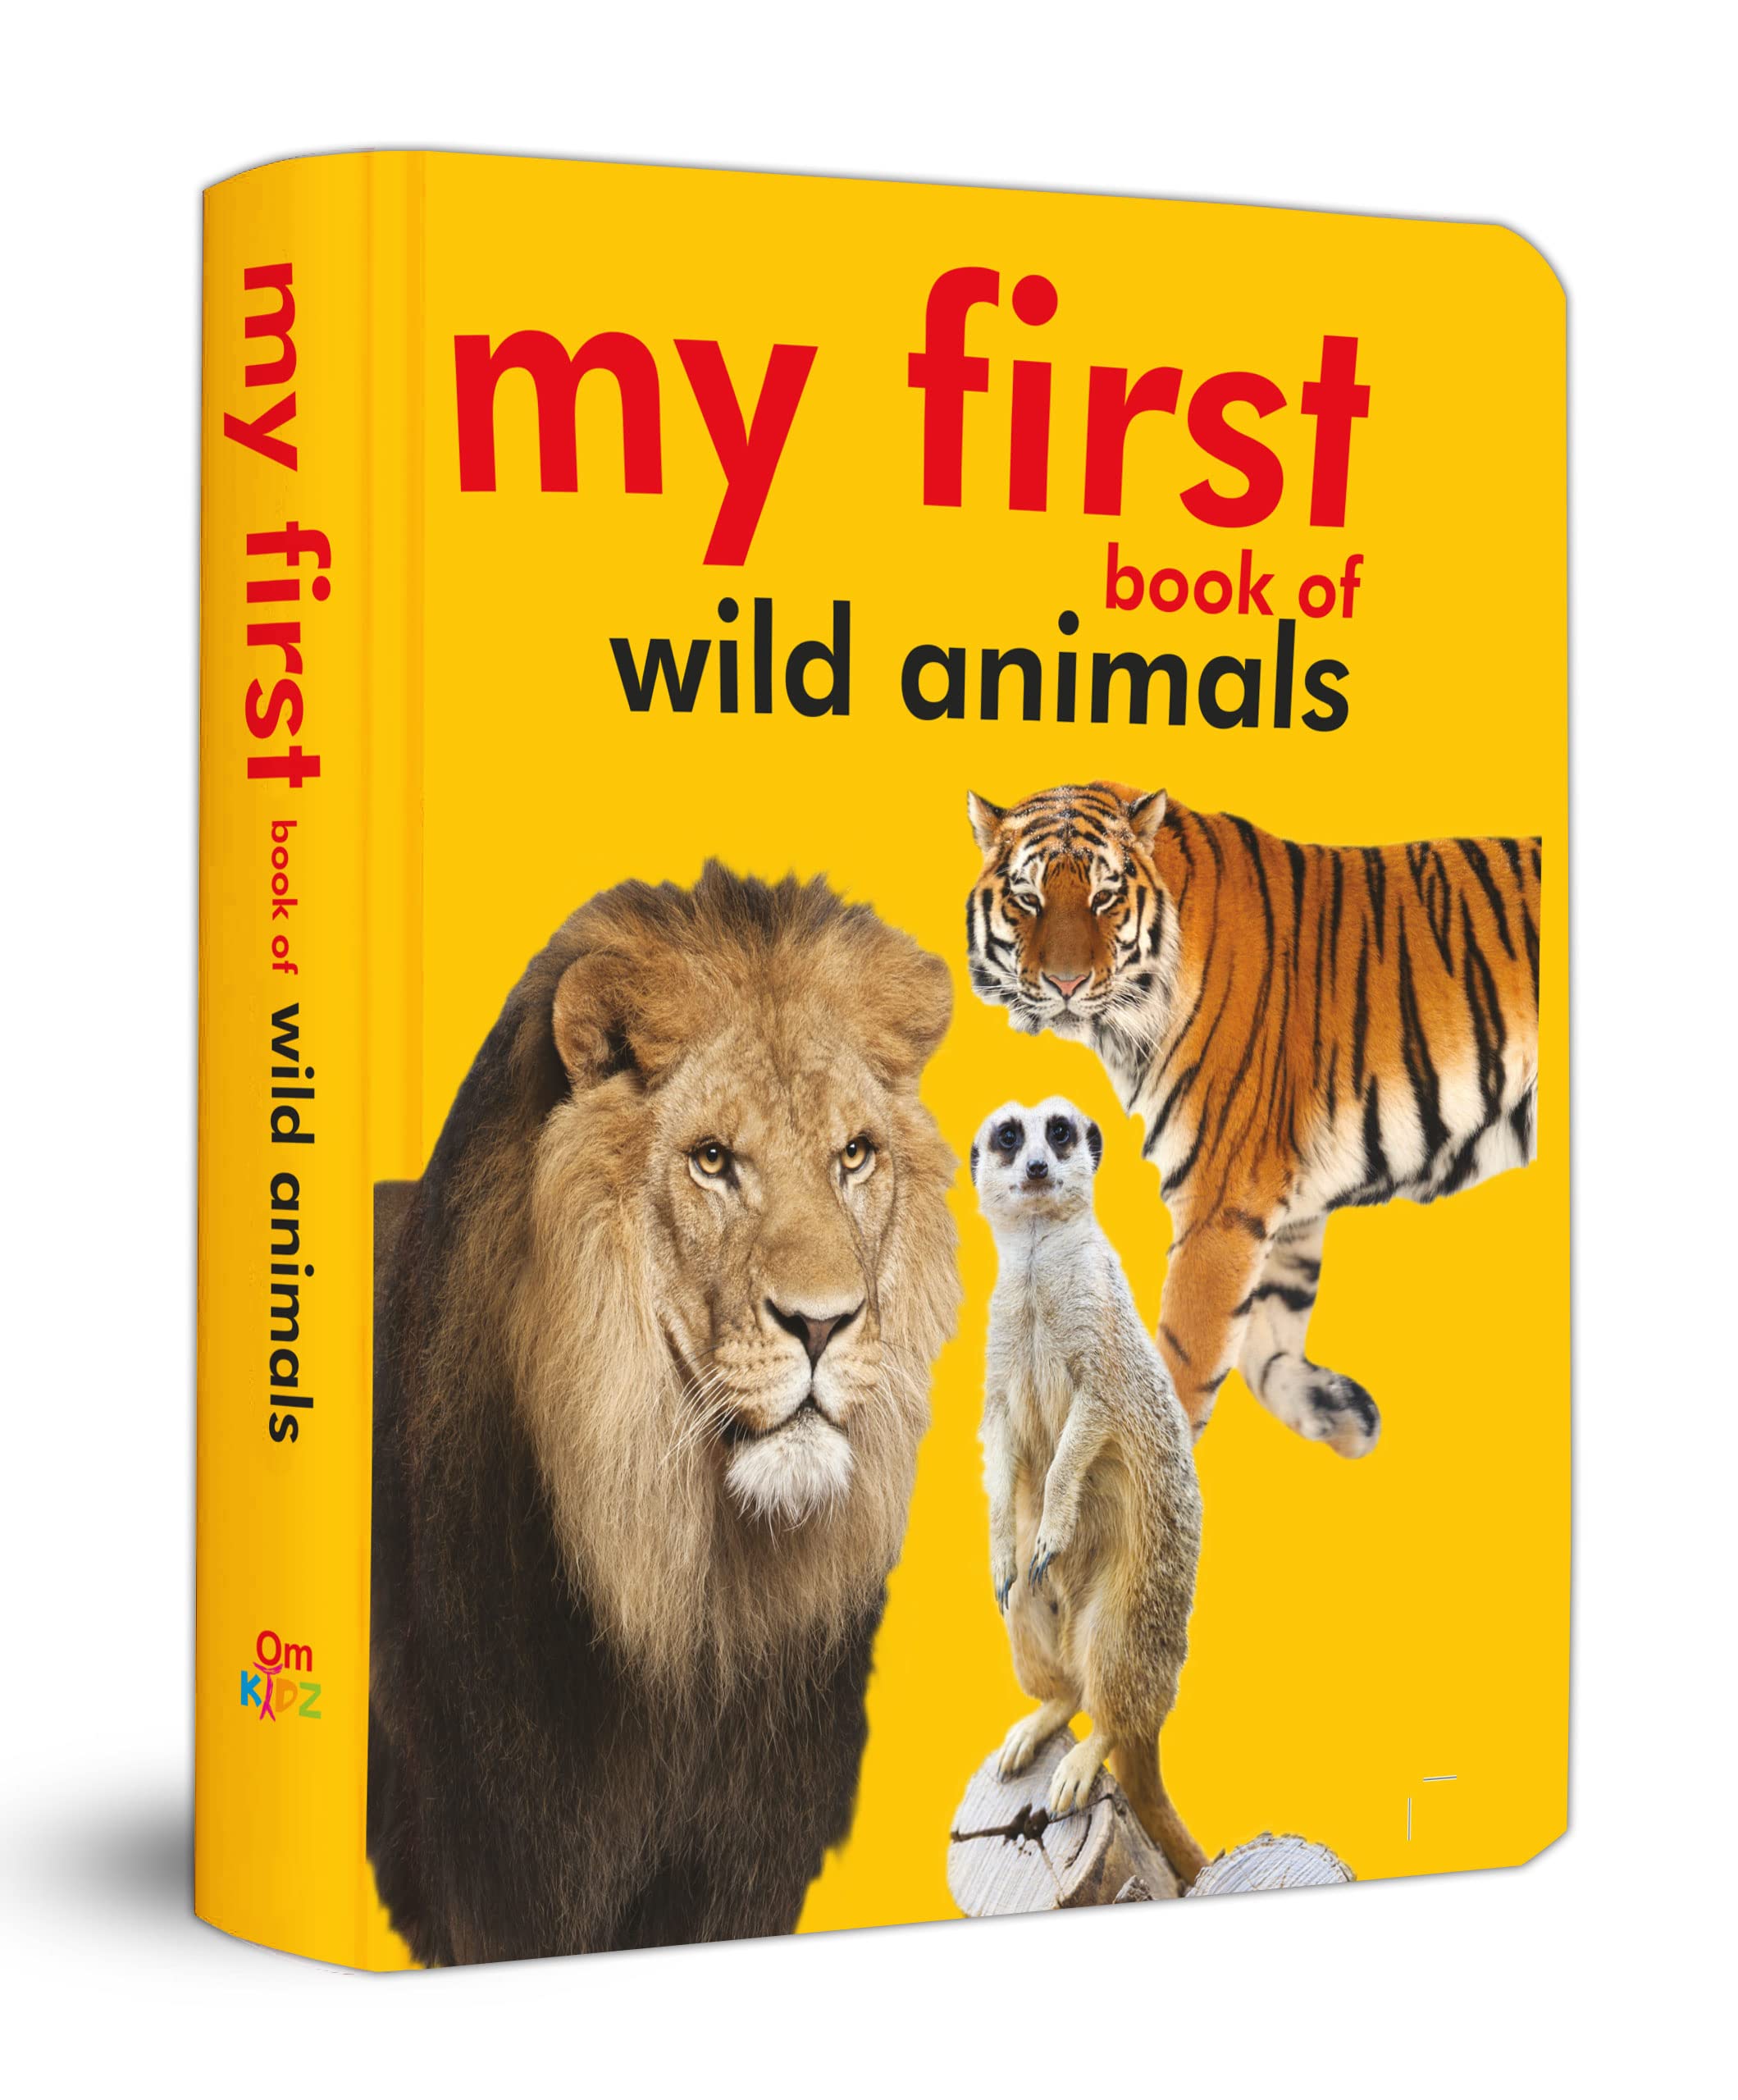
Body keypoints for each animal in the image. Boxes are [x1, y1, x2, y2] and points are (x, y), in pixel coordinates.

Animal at [964, 779, 1541, 1458]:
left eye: (1103, 897)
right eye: (1027, 898)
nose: (1065, 983)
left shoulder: (1221, 1196)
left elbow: (1186, 1354)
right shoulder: (1282, 1189)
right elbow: (1272, 1314)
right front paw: (1332, 1410)